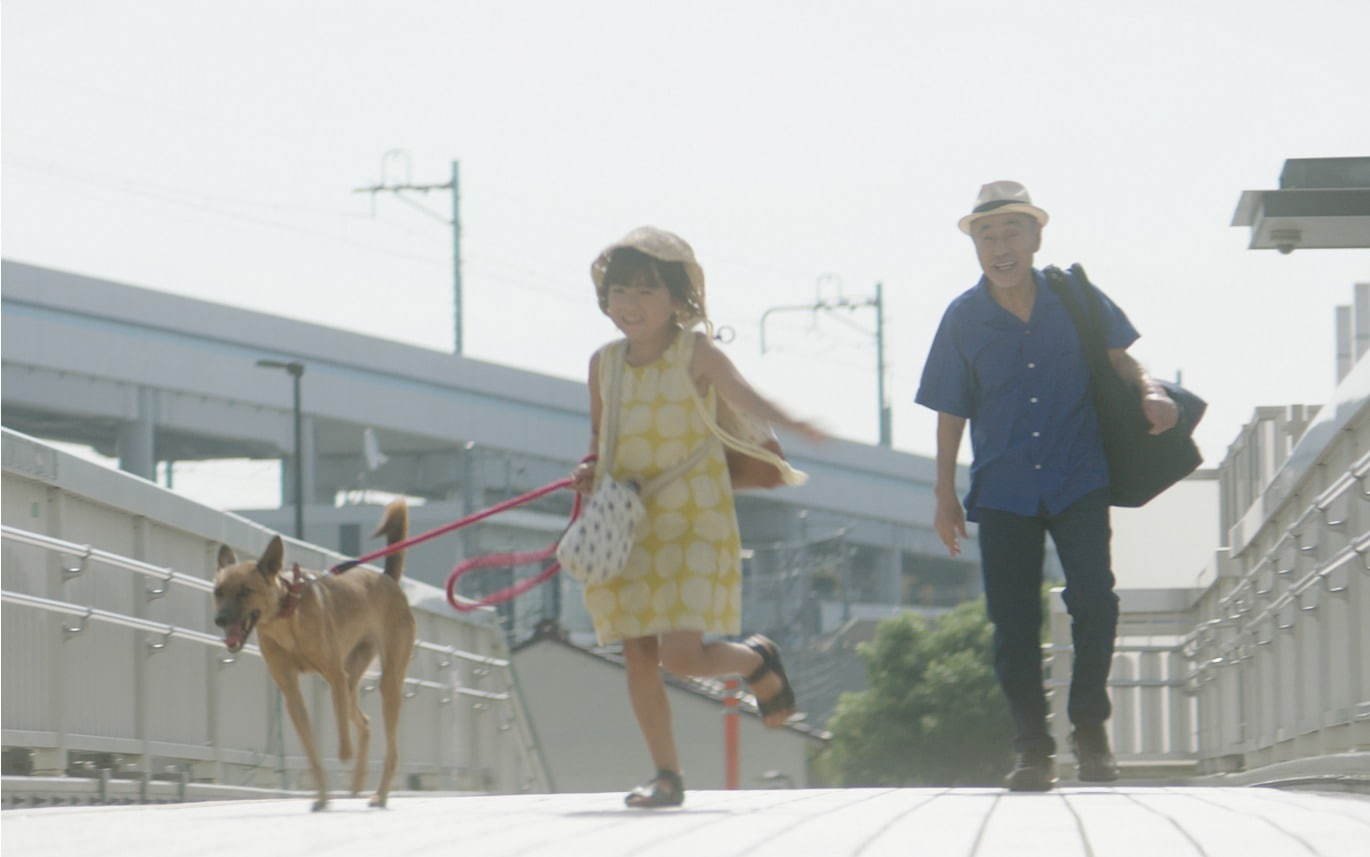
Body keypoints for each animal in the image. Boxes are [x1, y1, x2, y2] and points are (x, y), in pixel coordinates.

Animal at [213, 498, 413, 804]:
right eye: (218, 592)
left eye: (245, 591)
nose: (220, 620)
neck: (285, 616)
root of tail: (387, 578)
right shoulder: (292, 693)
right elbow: (311, 750)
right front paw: (321, 796)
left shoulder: (334, 677)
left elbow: (341, 732)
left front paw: (343, 755)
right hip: (352, 679)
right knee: (365, 723)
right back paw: (357, 786)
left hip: (386, 682)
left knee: (389, 747)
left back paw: (379, 796)